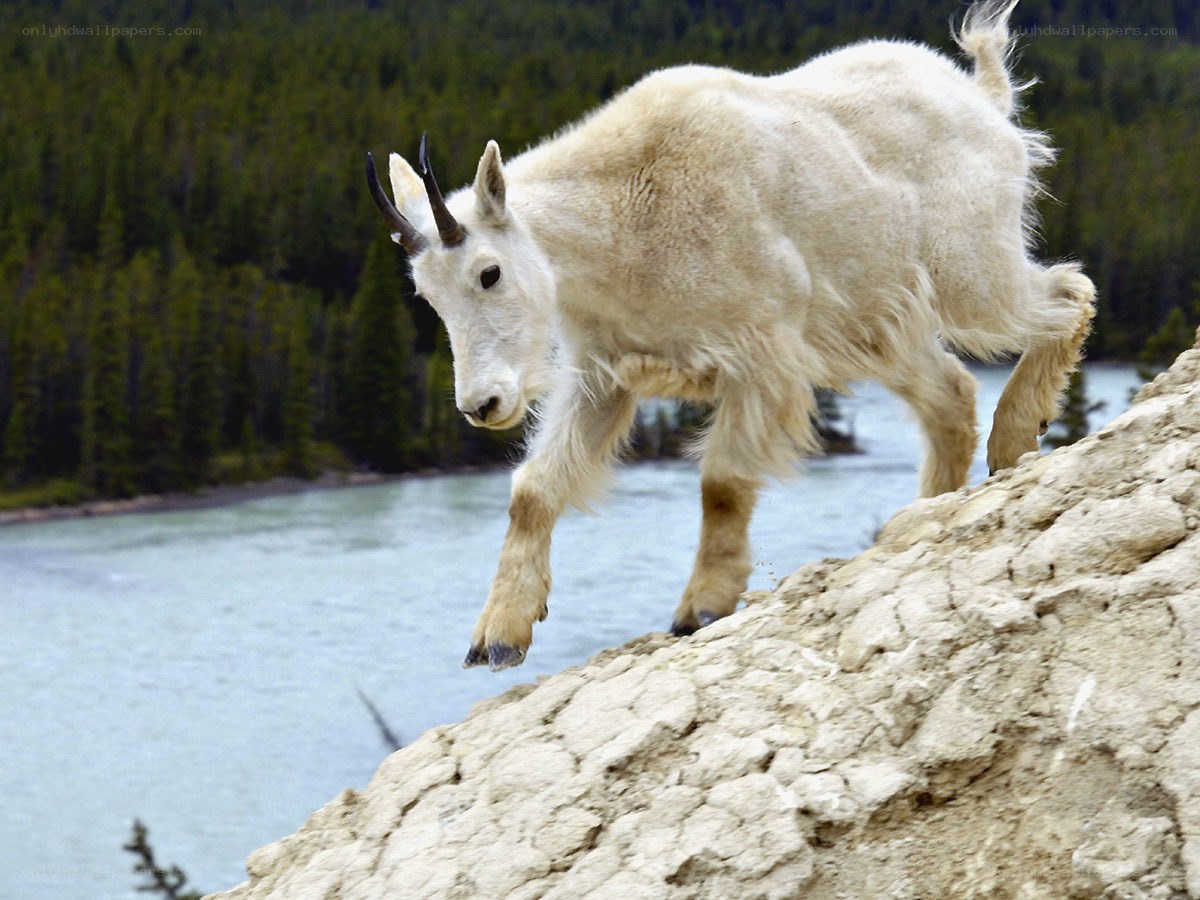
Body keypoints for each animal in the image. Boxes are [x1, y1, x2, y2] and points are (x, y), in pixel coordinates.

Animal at [367, 0, 1095, 670]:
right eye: (425, 295)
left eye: (489, 272)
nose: (482, 405)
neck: (619, 224)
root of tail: (986, 102)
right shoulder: (605, 373)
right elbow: (532, 490)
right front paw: (499, 635)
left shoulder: (760, 354)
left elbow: (721, 483)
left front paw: (702, 607)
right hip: (877, 323)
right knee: (950, 392)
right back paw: (926, 508)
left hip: (969, 272)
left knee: (1066, 296)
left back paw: (1014, 436)